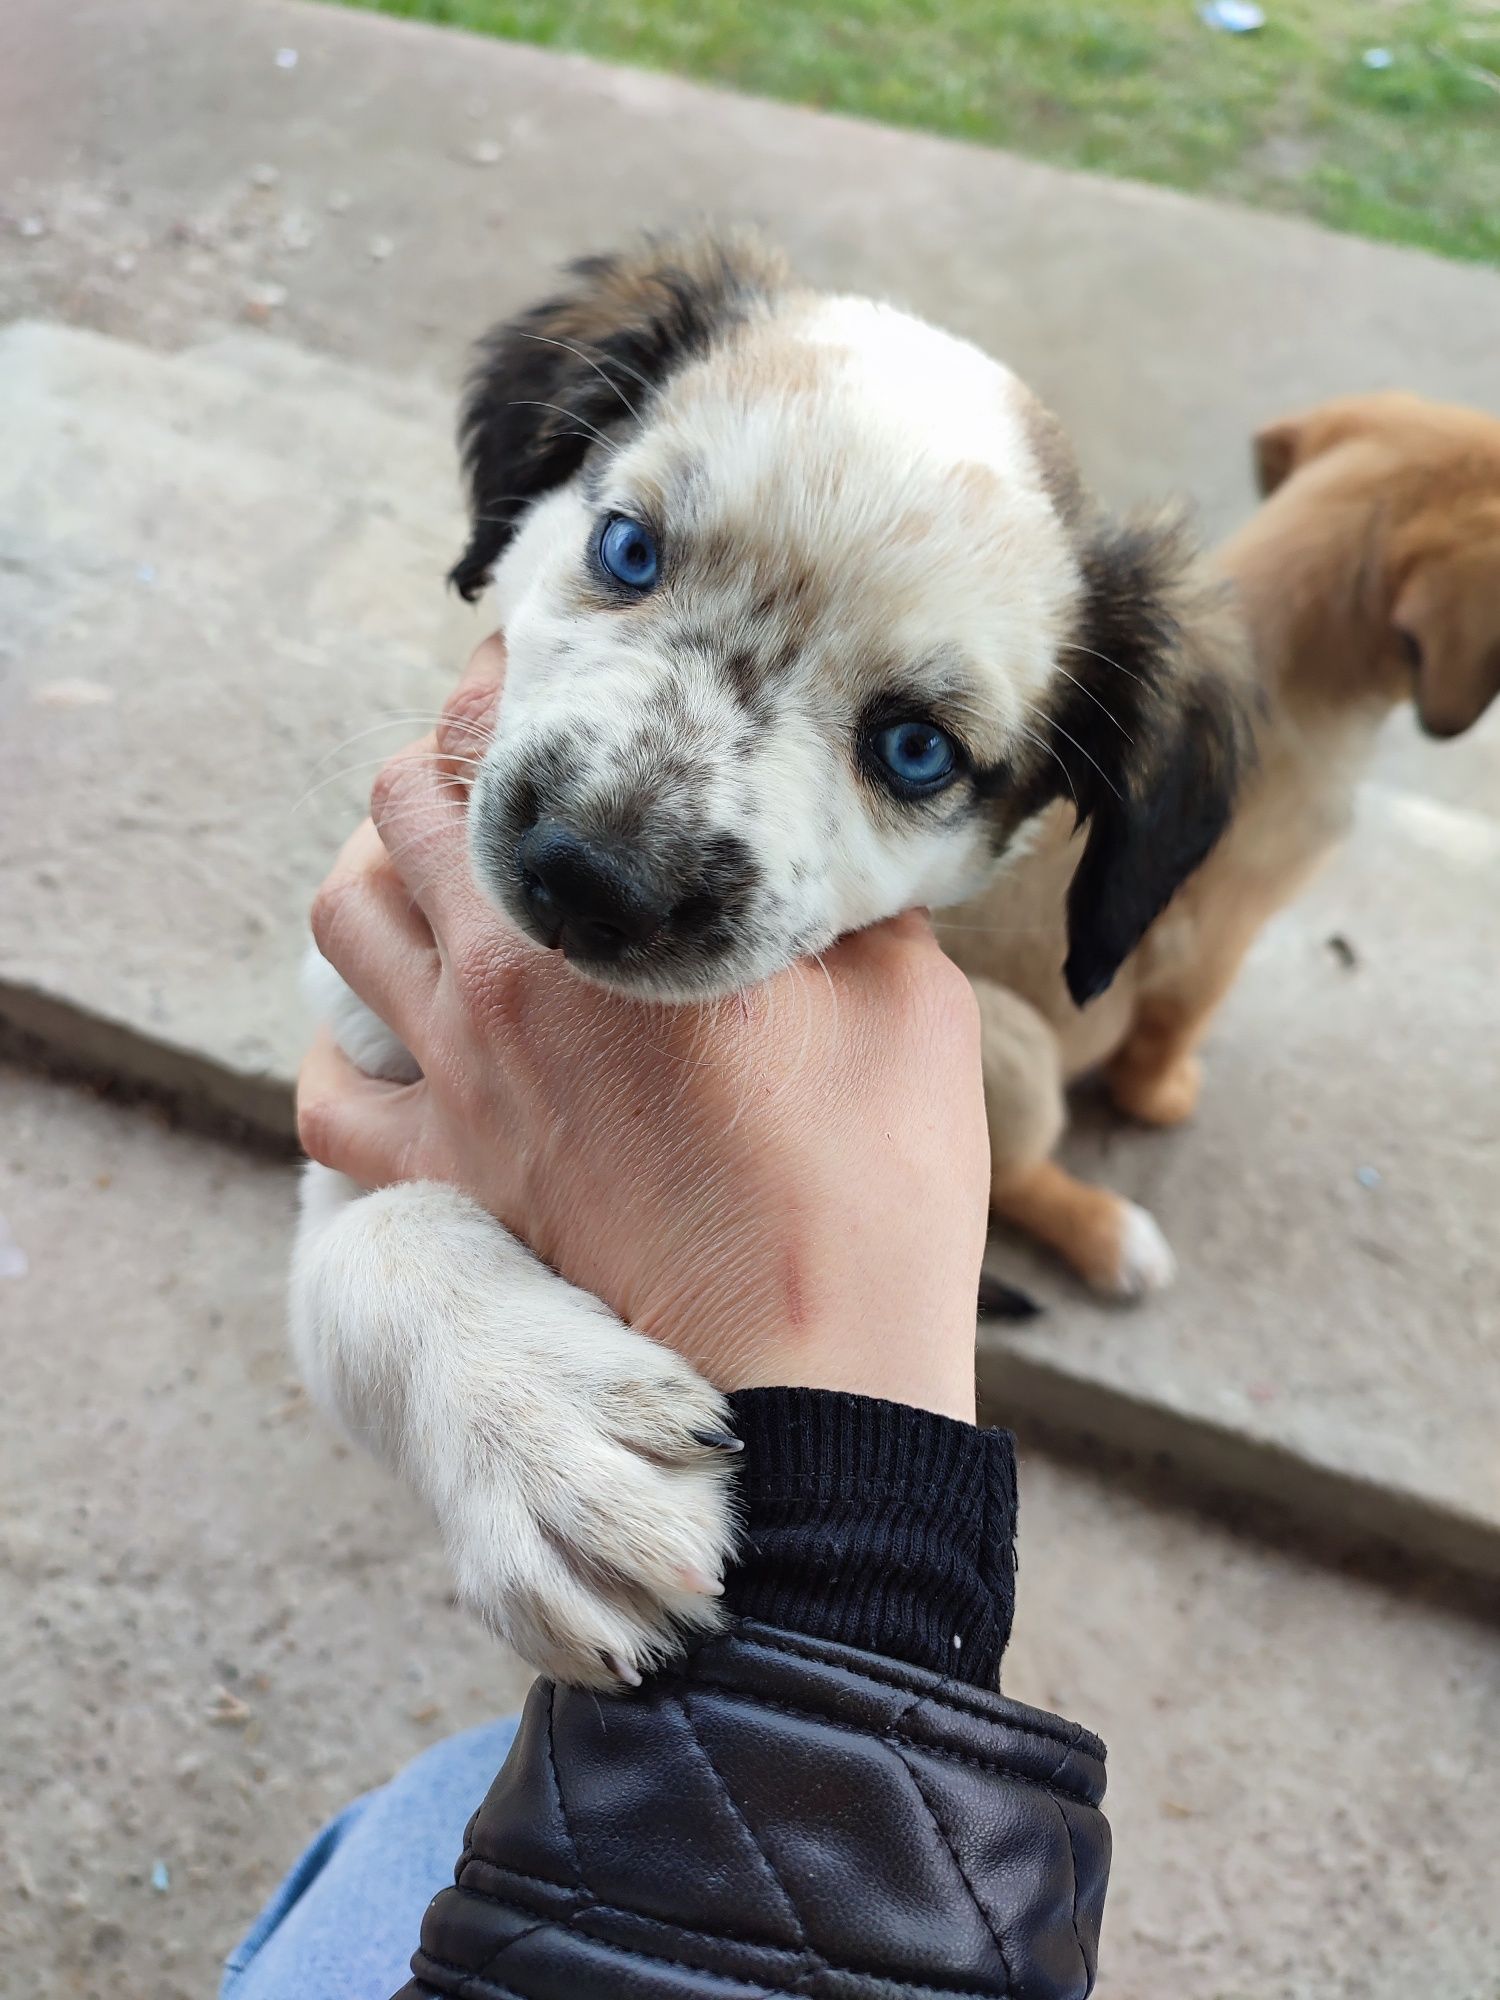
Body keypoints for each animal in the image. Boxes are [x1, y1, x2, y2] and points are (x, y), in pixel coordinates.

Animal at [290, 227, 1248, 1680]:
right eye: (628, 548)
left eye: (915, 749)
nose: (594, 878)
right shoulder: (358, 1099)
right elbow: (377, 1242)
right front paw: (543, 1434)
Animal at [940, 390, 1500, 1296]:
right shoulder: (1214, 940)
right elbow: (1171, 1033)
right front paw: (1163, 1095)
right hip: (1008, 1042)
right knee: (1002, 1185)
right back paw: (1110, 1234)